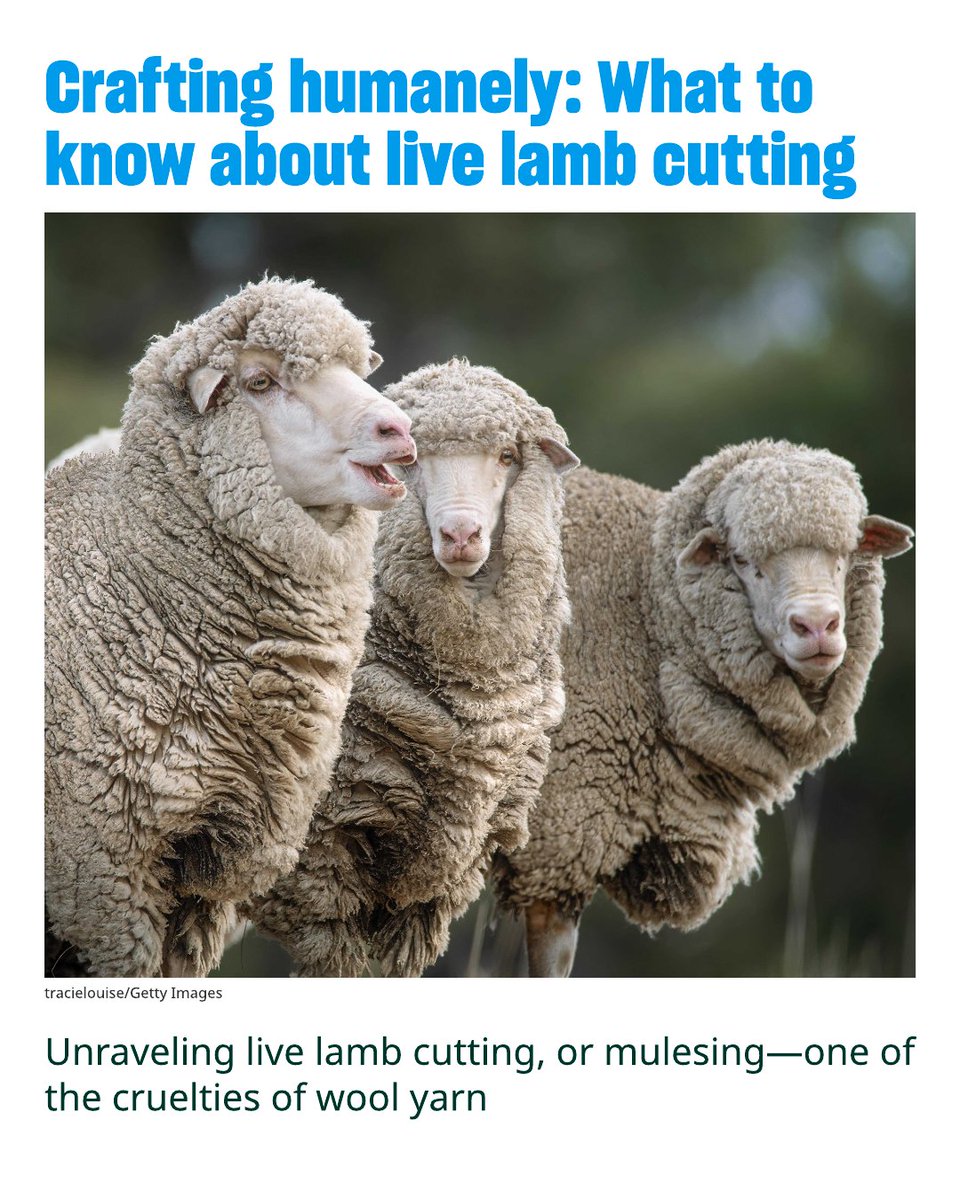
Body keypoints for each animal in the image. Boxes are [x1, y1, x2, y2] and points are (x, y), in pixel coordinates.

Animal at [250, 358, 579, 976]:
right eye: (411, 458)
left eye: (507, 455)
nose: (460, 534)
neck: (475, 686)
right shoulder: (328, 856)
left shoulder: (435, 885)